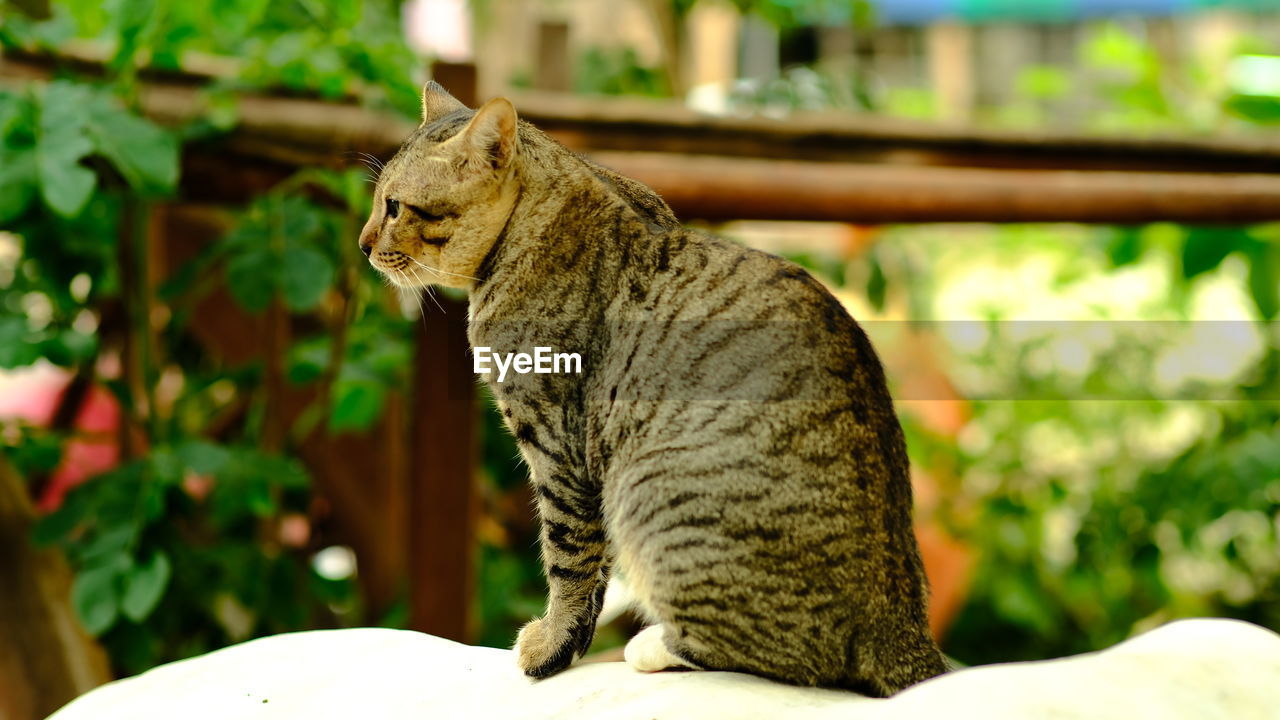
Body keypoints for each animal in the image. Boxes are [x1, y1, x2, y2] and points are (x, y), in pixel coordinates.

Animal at [360, 82, 952, 696]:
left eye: (394, 206)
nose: (362, 243)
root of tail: (902, 626)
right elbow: (594, 569)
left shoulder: (559, 447)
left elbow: (568, 559)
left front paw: (551, 645)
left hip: (650, 491)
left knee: (794, 657)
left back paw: (653, 646)